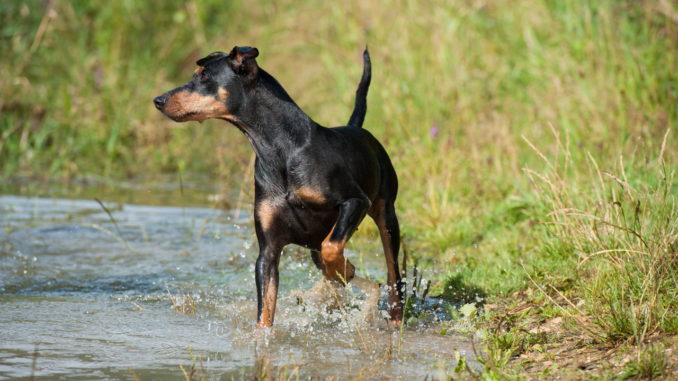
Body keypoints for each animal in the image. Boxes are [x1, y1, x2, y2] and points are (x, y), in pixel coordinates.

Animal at [154, 45, 404, 326]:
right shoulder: (268, 251)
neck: (281, 151)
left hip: (386, 217)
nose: (158, 100)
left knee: (394, 276)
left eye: (205, 76)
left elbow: (332, 249)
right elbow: (265, 314)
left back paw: (393, 319)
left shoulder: (355, 201)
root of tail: (356, 129)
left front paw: (340, 270)